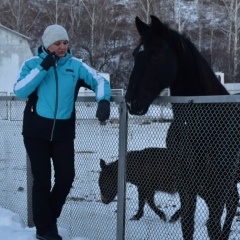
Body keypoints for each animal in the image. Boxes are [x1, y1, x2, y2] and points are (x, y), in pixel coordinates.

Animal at [124, 15, 240, 240]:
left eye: (156, 53)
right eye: (135, 54)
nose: (131, 101)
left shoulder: (217, 189)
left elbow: (213, 226)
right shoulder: (187, 186)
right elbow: (187, 225)